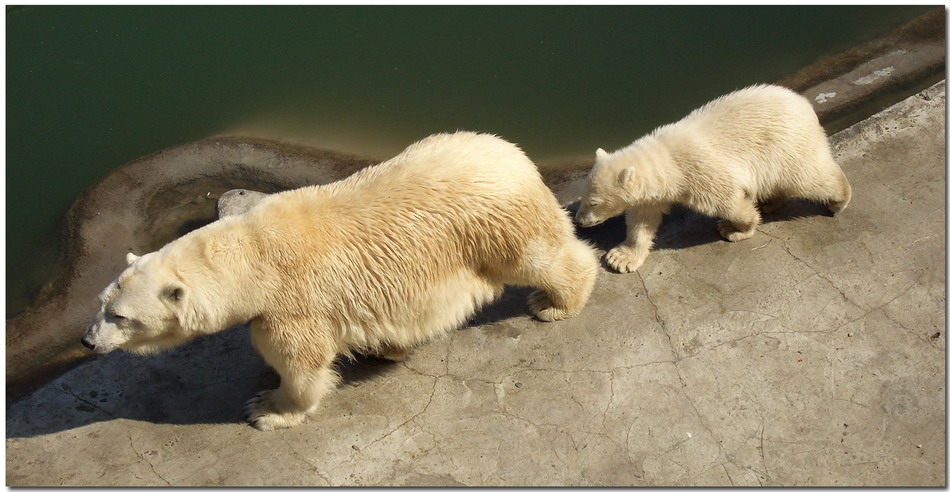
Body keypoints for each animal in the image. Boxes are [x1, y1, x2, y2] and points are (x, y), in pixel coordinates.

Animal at [85, 132, 600, 430]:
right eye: (101, 302)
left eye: (120, 316)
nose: (88, 341)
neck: (252, 255)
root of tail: (512, 152)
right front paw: (386, 349)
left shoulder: (291, 303)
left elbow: (300, 362)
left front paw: (267, 409)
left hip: (492, 222)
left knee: (538, 257)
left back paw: (556, 301)